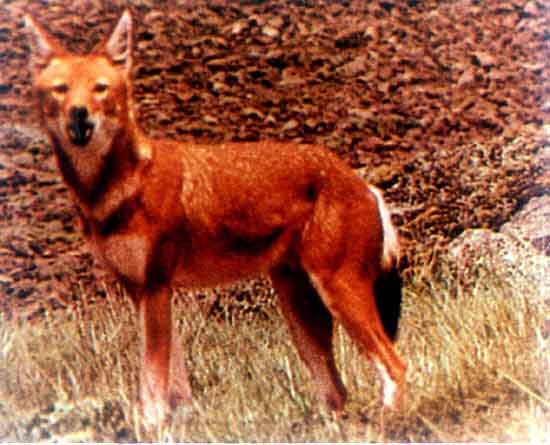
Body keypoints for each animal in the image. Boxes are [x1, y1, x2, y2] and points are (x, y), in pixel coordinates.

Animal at [25, 10, 406, 424]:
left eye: (99, 89)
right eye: (61, 90)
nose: (79, 115)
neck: (117, 187)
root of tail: (362, 182)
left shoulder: (155, 287)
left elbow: (153, 380)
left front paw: (152, 426)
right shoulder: (140, 291)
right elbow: (173, 379)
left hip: (338, 293)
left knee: (395, 364)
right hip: (300, 313)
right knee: (337, 391)